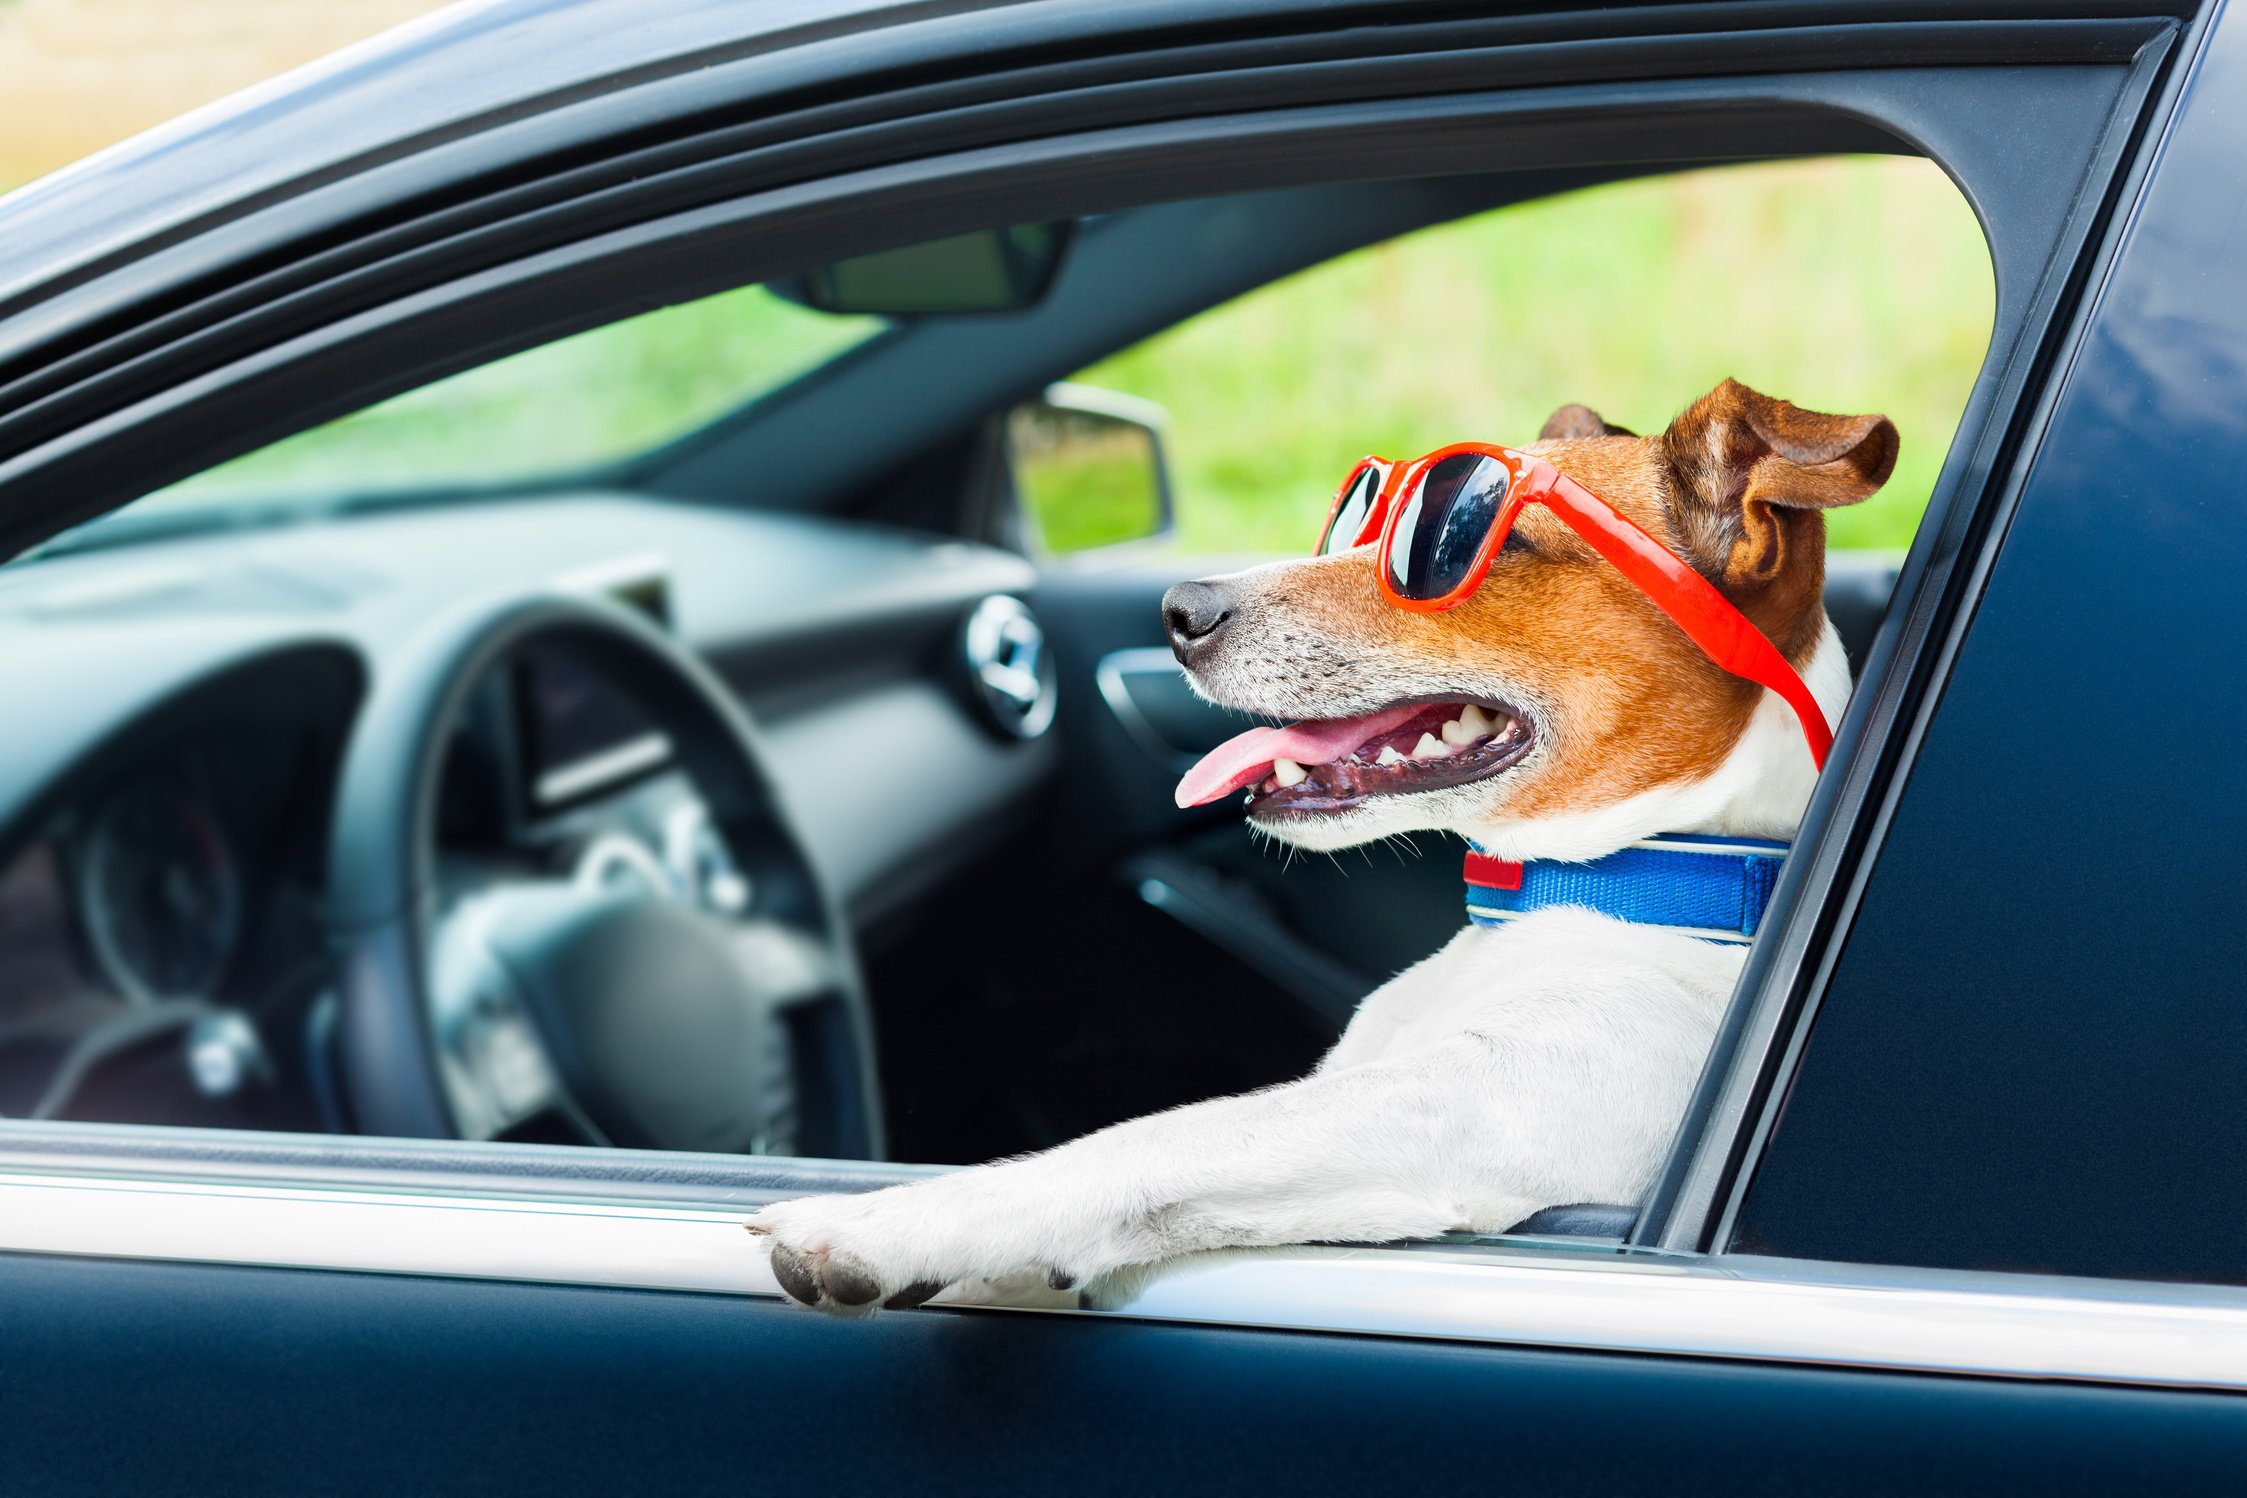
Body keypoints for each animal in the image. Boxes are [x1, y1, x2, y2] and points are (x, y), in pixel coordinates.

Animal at [746, 381, 1887, 1320]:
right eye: (1359, 516)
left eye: (1471, 541)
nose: (1179, 610)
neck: (1611, 885)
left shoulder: (1475, 1109)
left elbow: (1162, 1133)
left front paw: (884, 1222)